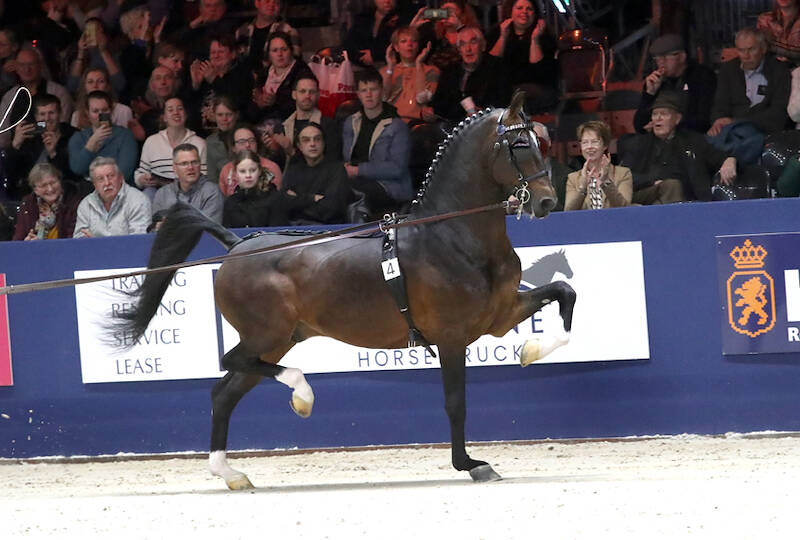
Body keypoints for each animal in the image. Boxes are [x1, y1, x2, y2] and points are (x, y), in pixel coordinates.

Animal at [115, 91, 577, 489]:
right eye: (520, 144)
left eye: (542, 141)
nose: (547, 202)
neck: (453, 236)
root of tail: (236, 244)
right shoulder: (451, 337)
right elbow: (455, 403)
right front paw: (472, 464)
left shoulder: (500, 316)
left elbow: (564, 294)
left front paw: (530, 350)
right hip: (267, 336)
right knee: (232, 363)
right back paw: (302, 396)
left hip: (277, 341)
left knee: (225, 392)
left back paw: (232, 474)